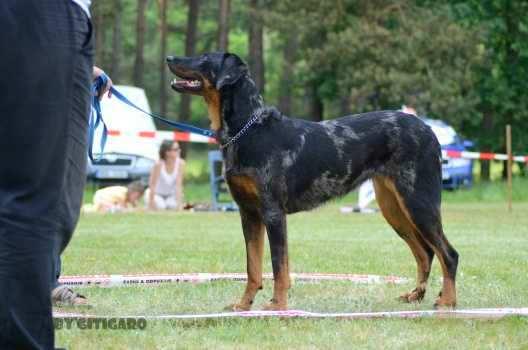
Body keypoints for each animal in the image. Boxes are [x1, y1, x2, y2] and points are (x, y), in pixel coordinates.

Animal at [166, 51, 458, 308]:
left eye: (205, 58)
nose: (169, 57)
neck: (247, 129)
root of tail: (429, 130)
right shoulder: (248, 213)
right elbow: (253, 268)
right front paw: (244, 305)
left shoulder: (272, 212)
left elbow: (279, 266)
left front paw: (278, 306)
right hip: (393, 208)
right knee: (425, 253)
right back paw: (416, 296)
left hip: (418, 202)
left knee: (448, 254)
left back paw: (447, 302)